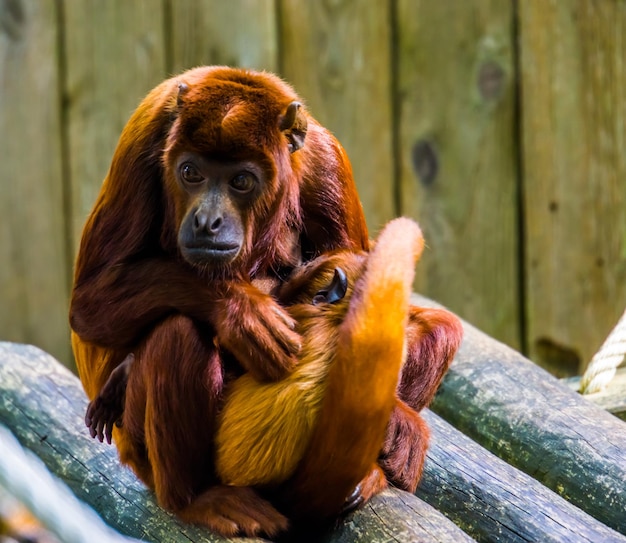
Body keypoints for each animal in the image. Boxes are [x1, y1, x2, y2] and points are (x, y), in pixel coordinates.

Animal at [74, 67, 464, 540]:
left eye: (241, 181)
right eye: (190, 173)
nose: (207, 221)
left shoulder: (326, 162)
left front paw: (395, 421)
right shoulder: (143, 142)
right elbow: (90, 303)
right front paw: (242, 315)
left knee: (438, 326)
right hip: (142, 455)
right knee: (178, 333)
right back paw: (197, 498)